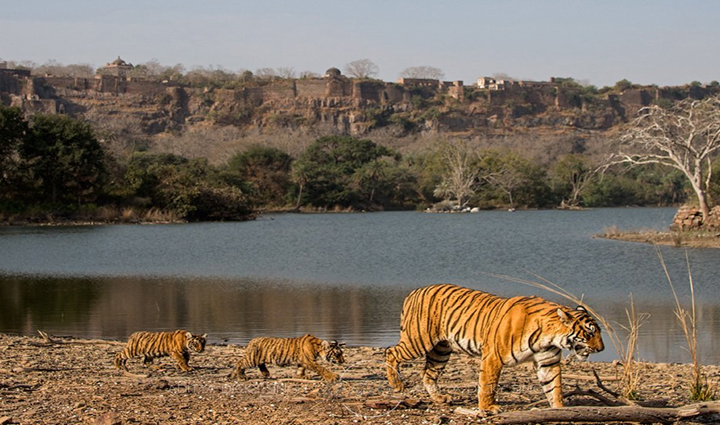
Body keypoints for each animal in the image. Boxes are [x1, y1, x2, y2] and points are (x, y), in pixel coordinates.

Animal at [385, 283, 604, 413]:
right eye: (590, 332)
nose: (601, 348)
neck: (549, 338)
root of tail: (414, 291)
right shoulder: (493, 356)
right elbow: (488, 384)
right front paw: (488, 407)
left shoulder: (548, 362)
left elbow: (554, 387)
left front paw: (559, 409)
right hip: (418, 341)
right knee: (390, 351)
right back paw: (397, 385)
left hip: (441, 350)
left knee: (427, 374)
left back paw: (439, 398)